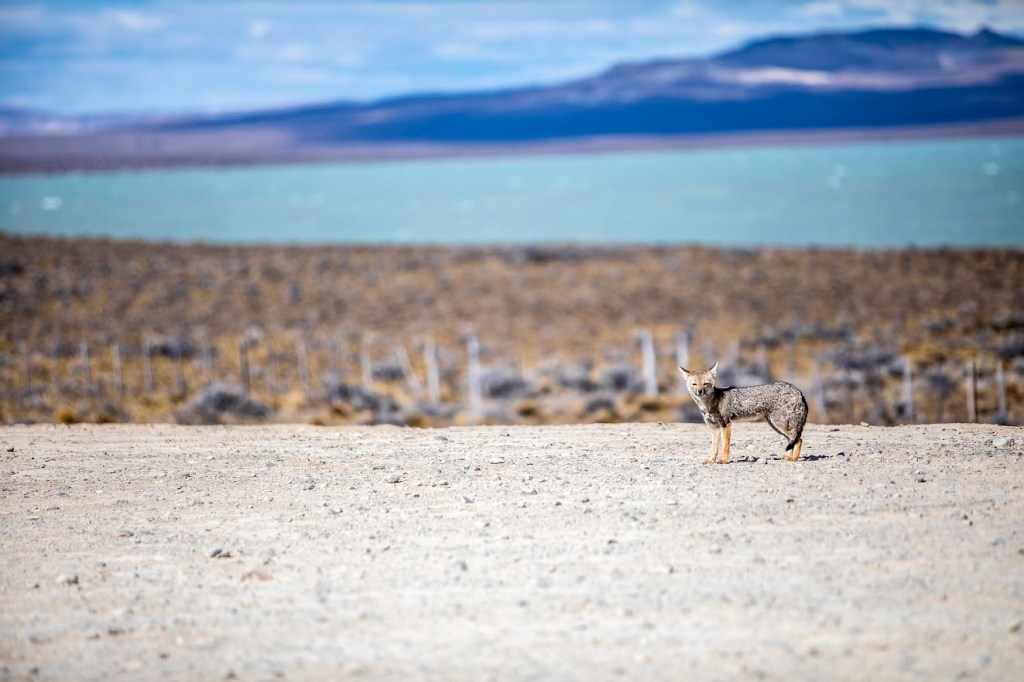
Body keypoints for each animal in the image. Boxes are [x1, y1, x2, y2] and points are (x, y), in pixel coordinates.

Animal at [679, 362, 808, 464]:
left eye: (705, 383)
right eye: (694, 384)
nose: (700, 391)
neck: (709, 405)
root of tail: (798, 390)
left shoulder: (726, 425)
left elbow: (725, 446)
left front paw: (723, 460)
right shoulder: (714, 428)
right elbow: (713, 447)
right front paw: (711, 460)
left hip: (780, 424)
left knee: (799, 439)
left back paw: (794, 458)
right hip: (776, 426)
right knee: (792, 440)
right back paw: (788, 457)